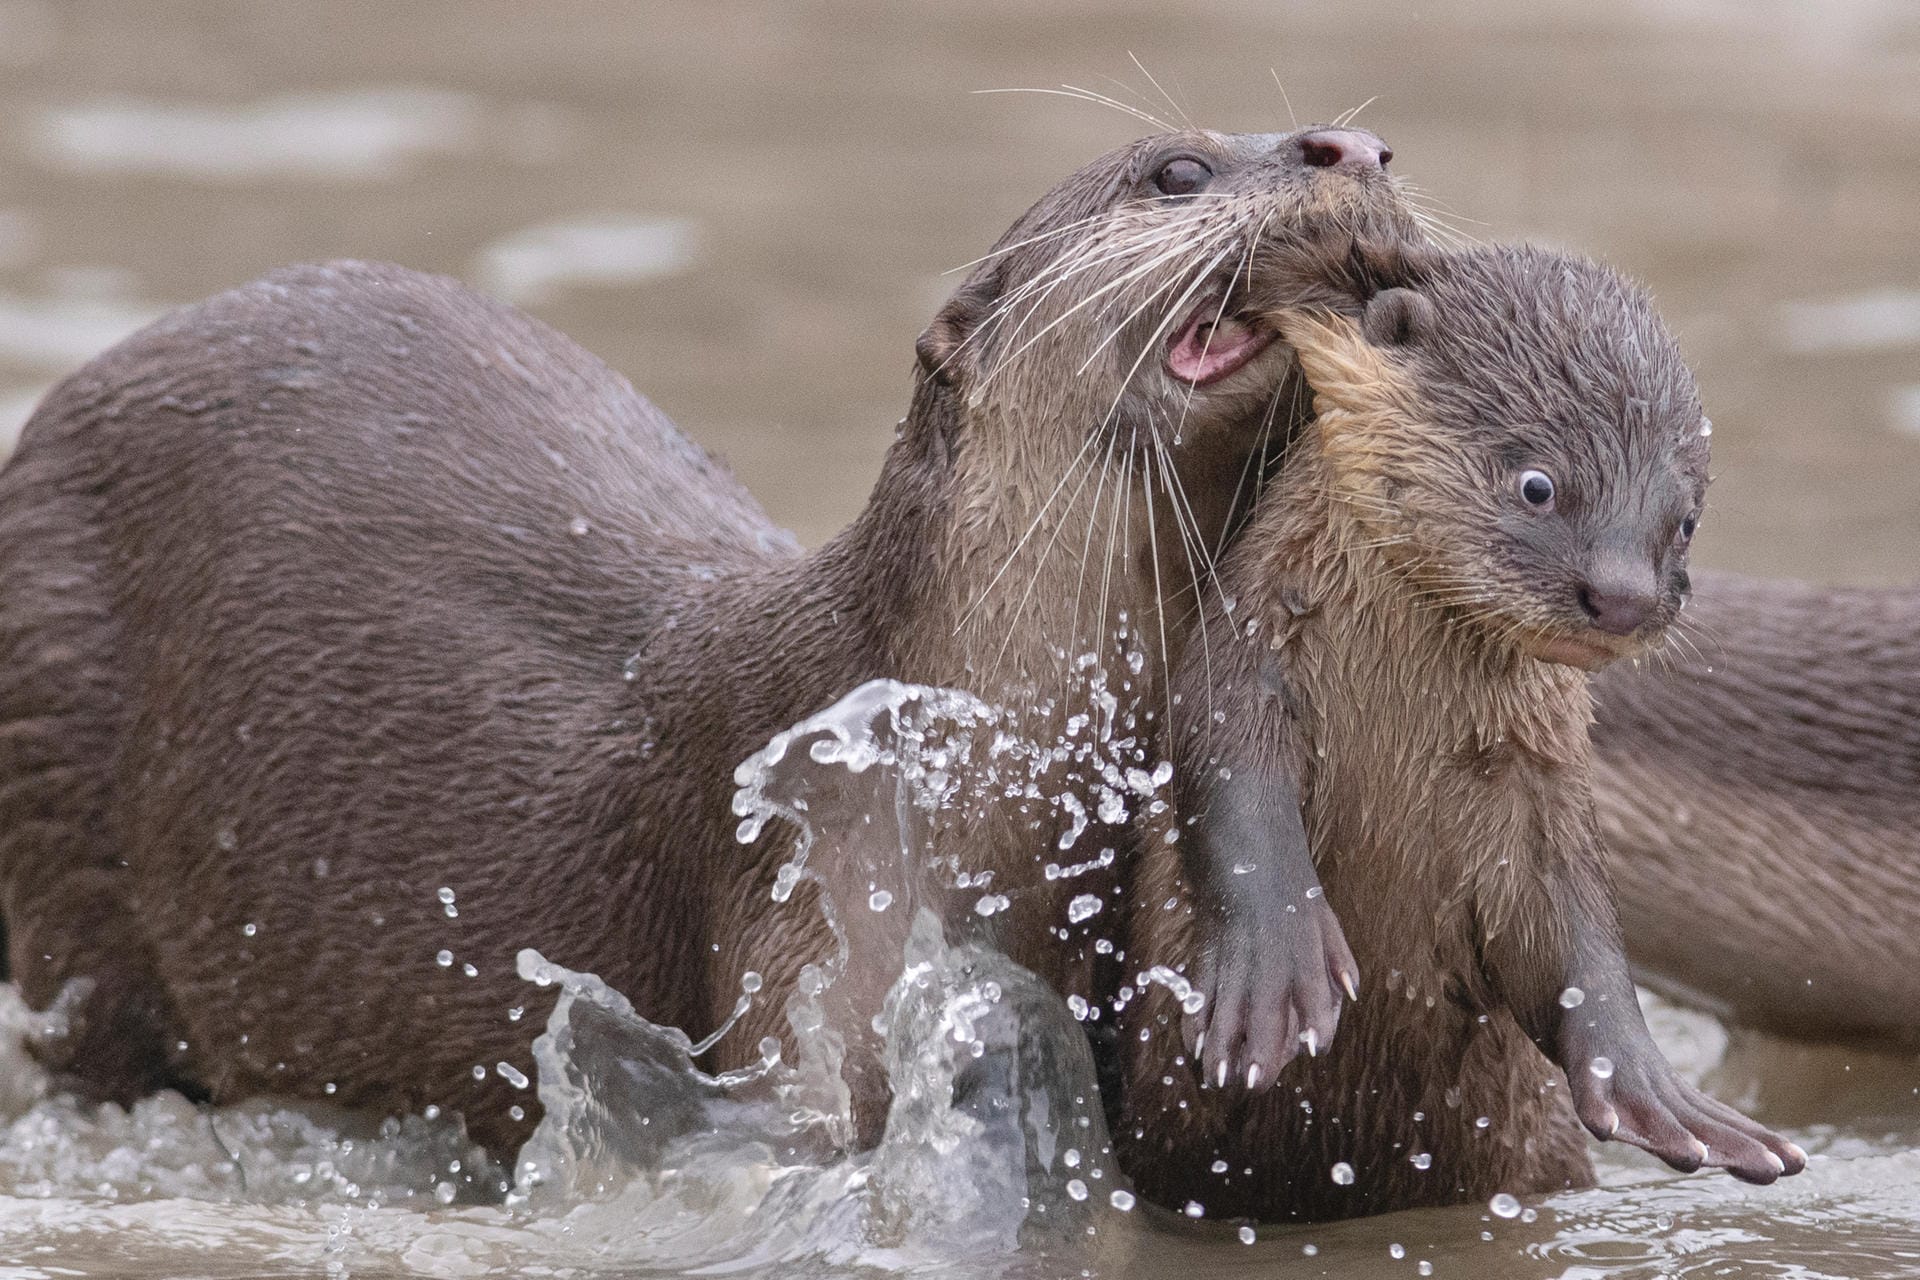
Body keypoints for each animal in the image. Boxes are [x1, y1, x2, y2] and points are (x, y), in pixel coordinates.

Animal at [1121, 242, 1804, 1220]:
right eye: (1538, 484)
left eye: (1684, 521)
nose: (1624, 596)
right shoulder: (1245, 661)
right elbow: (1232, 793)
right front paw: (1276, 975)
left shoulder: (1539, 774)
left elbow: (1575, 928)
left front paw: (1653, 1088)